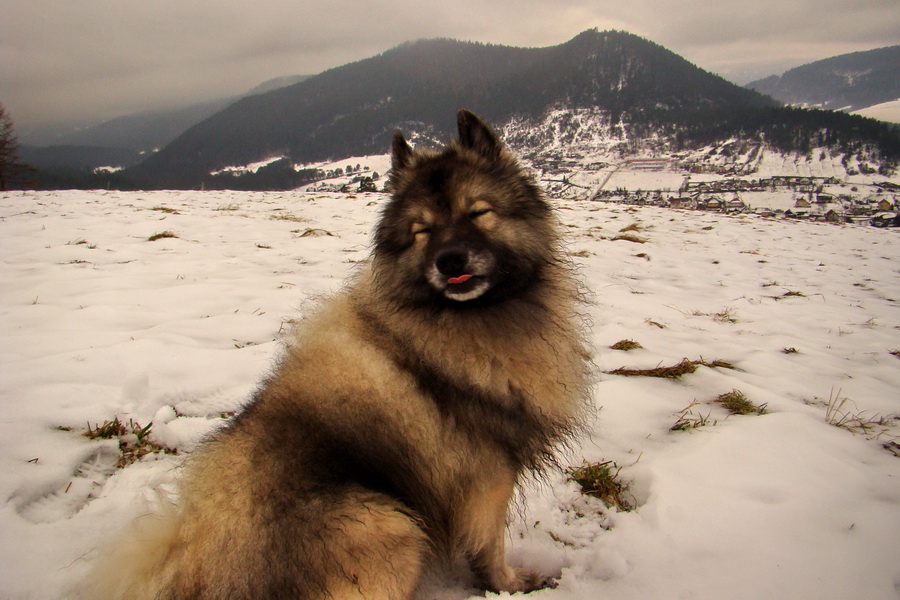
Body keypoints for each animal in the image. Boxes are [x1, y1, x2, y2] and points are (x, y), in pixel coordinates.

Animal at [84, 109, 592, 600]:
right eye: (422, 231)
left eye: (479, 212)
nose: (450, 260)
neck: (455, 319)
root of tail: (195, 571)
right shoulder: (487, 477)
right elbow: (490, 547)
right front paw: (510, 584)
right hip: (393, 526)